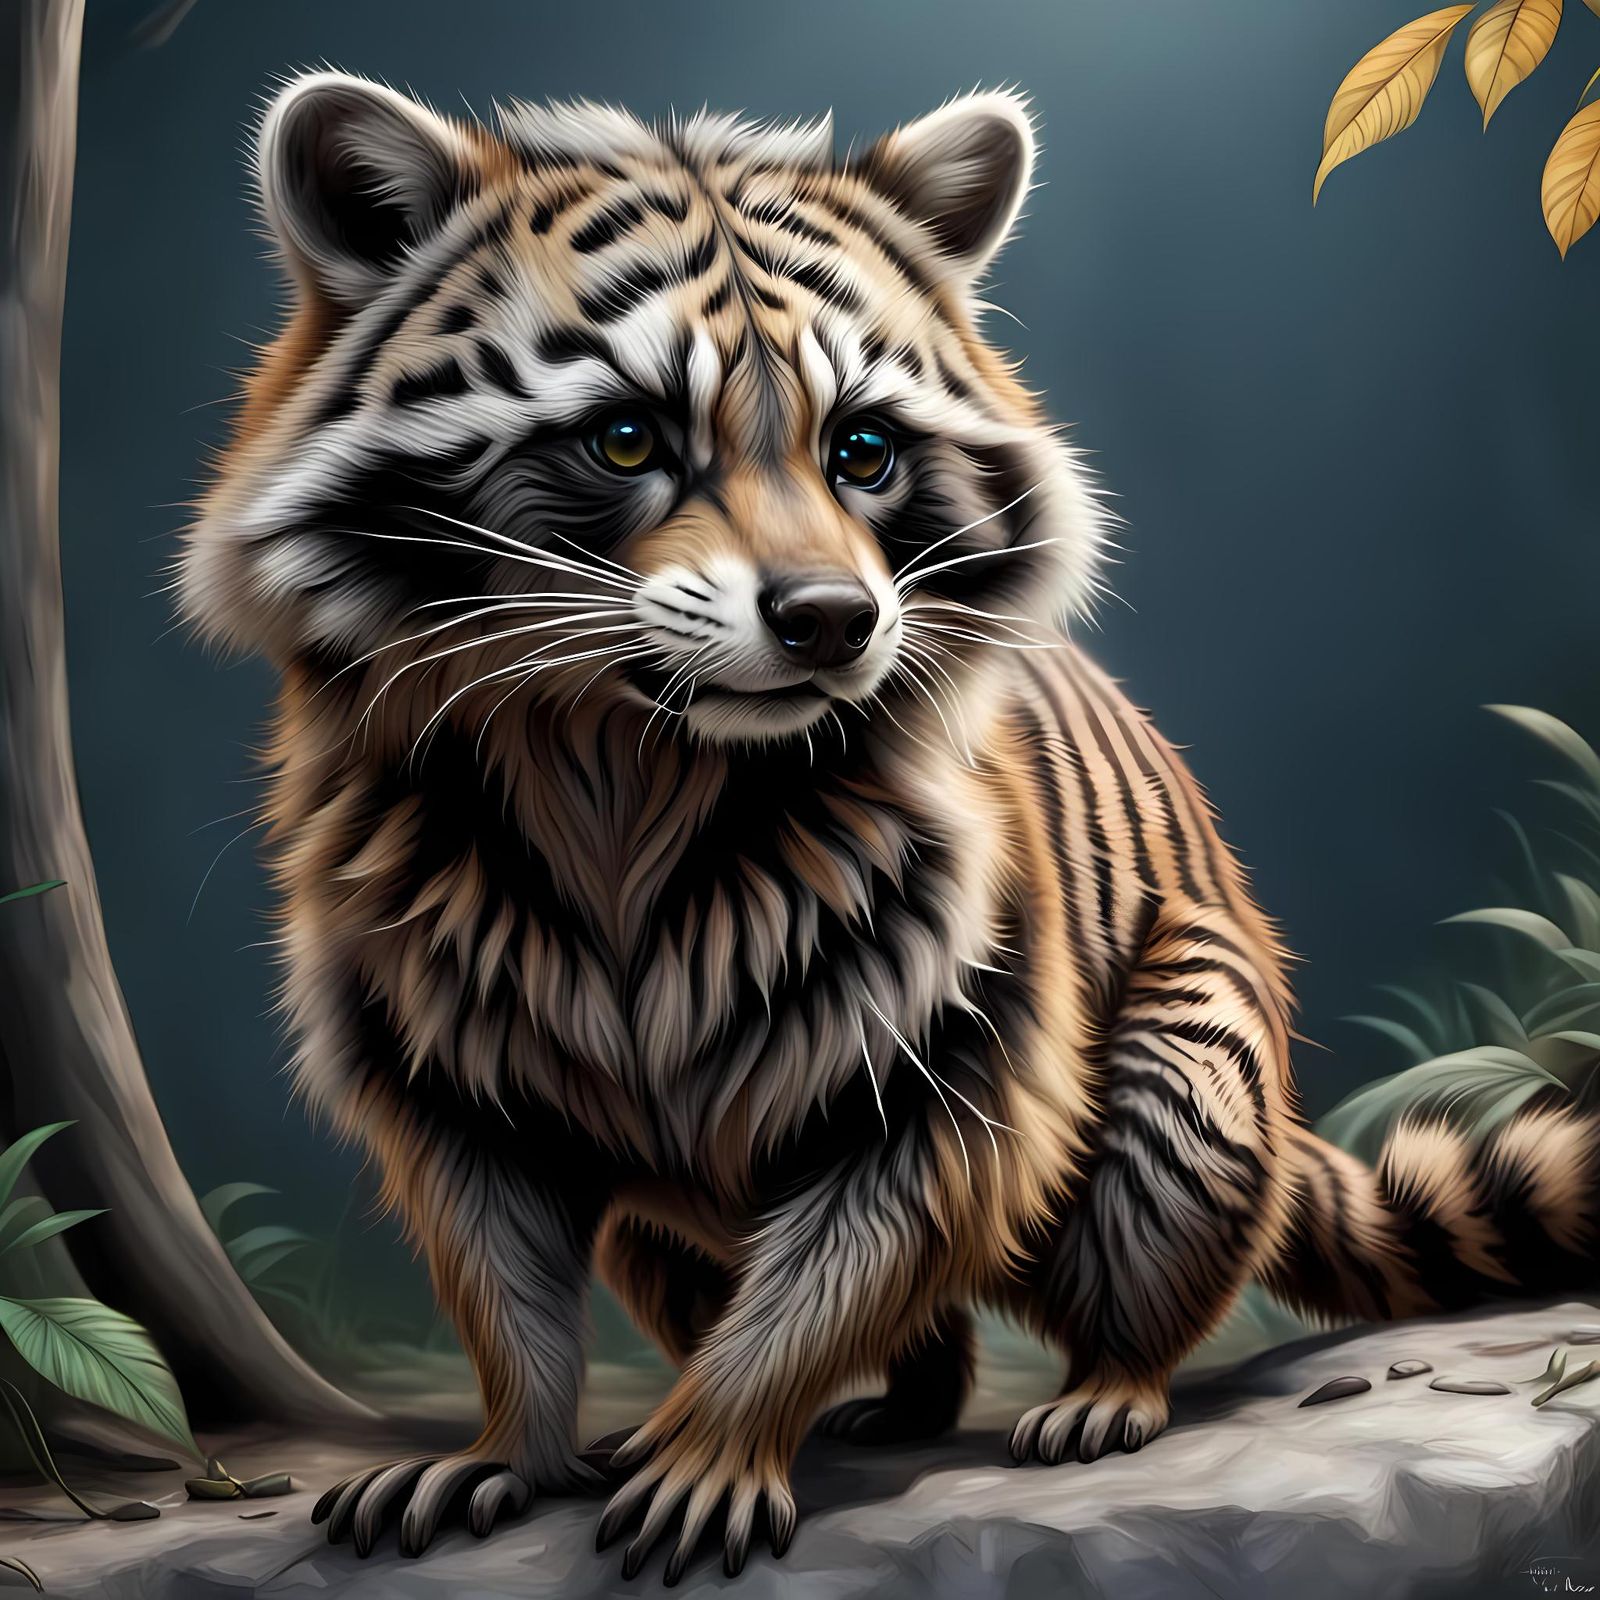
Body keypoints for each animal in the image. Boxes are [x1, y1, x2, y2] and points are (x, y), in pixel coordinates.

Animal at [177, 70, 1600, 1583]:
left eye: (860, 450)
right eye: (627, 437)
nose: (829, 619)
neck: (629, 754)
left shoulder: (962, 1022)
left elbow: (848, 1255)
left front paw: (717, 1441)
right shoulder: (431, 1037)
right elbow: (499, 1271)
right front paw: (513, 1443)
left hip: (1194, 1027)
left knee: (1147, 1190)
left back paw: (1109, 1384)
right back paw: (889, 1396)